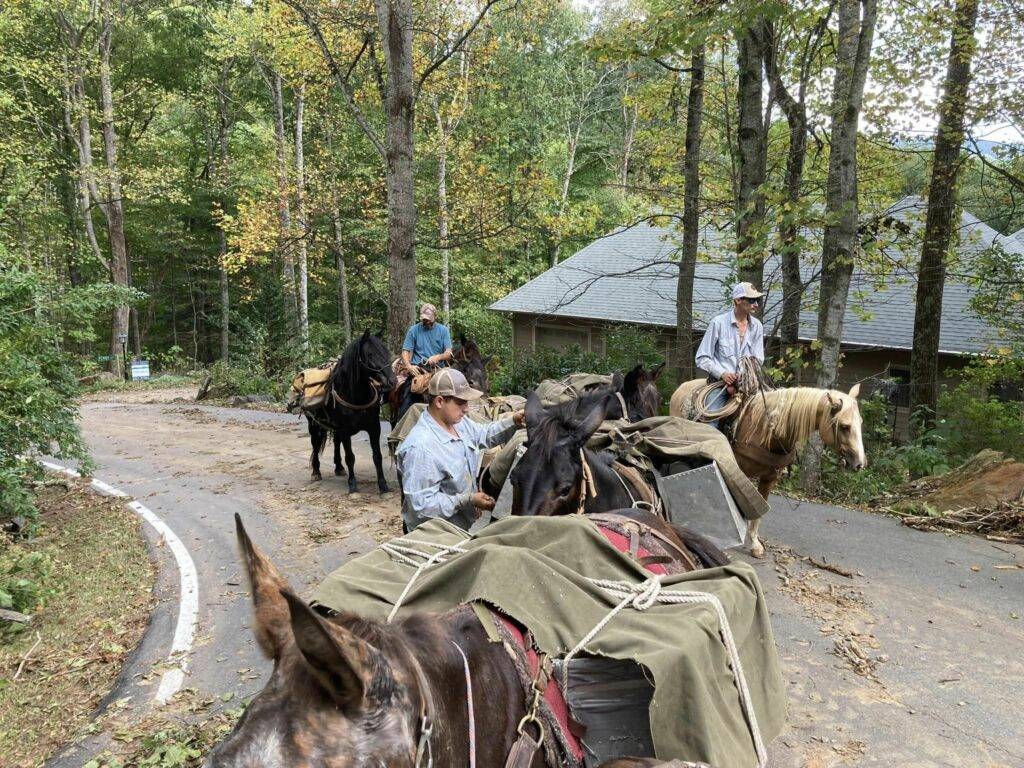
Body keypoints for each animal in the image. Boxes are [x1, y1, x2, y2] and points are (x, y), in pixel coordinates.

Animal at [305, 331, 393, 493]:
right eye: (370, 354)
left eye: (386, 352)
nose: (392, 381)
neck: (356, 396)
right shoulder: (345, 430)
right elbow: (350, 457)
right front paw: (353, 485)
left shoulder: (374, 428)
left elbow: (377, 456)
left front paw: (383, 485)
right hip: (314, 425)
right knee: (315, 444)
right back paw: (316, 472)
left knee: (336, 441)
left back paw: (339, 467)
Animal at [671, 380, 864, 557]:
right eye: (844, 427)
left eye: (860, 423)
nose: (859, 464)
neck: (768, 432)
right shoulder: (739, 472)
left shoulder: (769, 478)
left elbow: (758, 508)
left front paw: (754, 543)